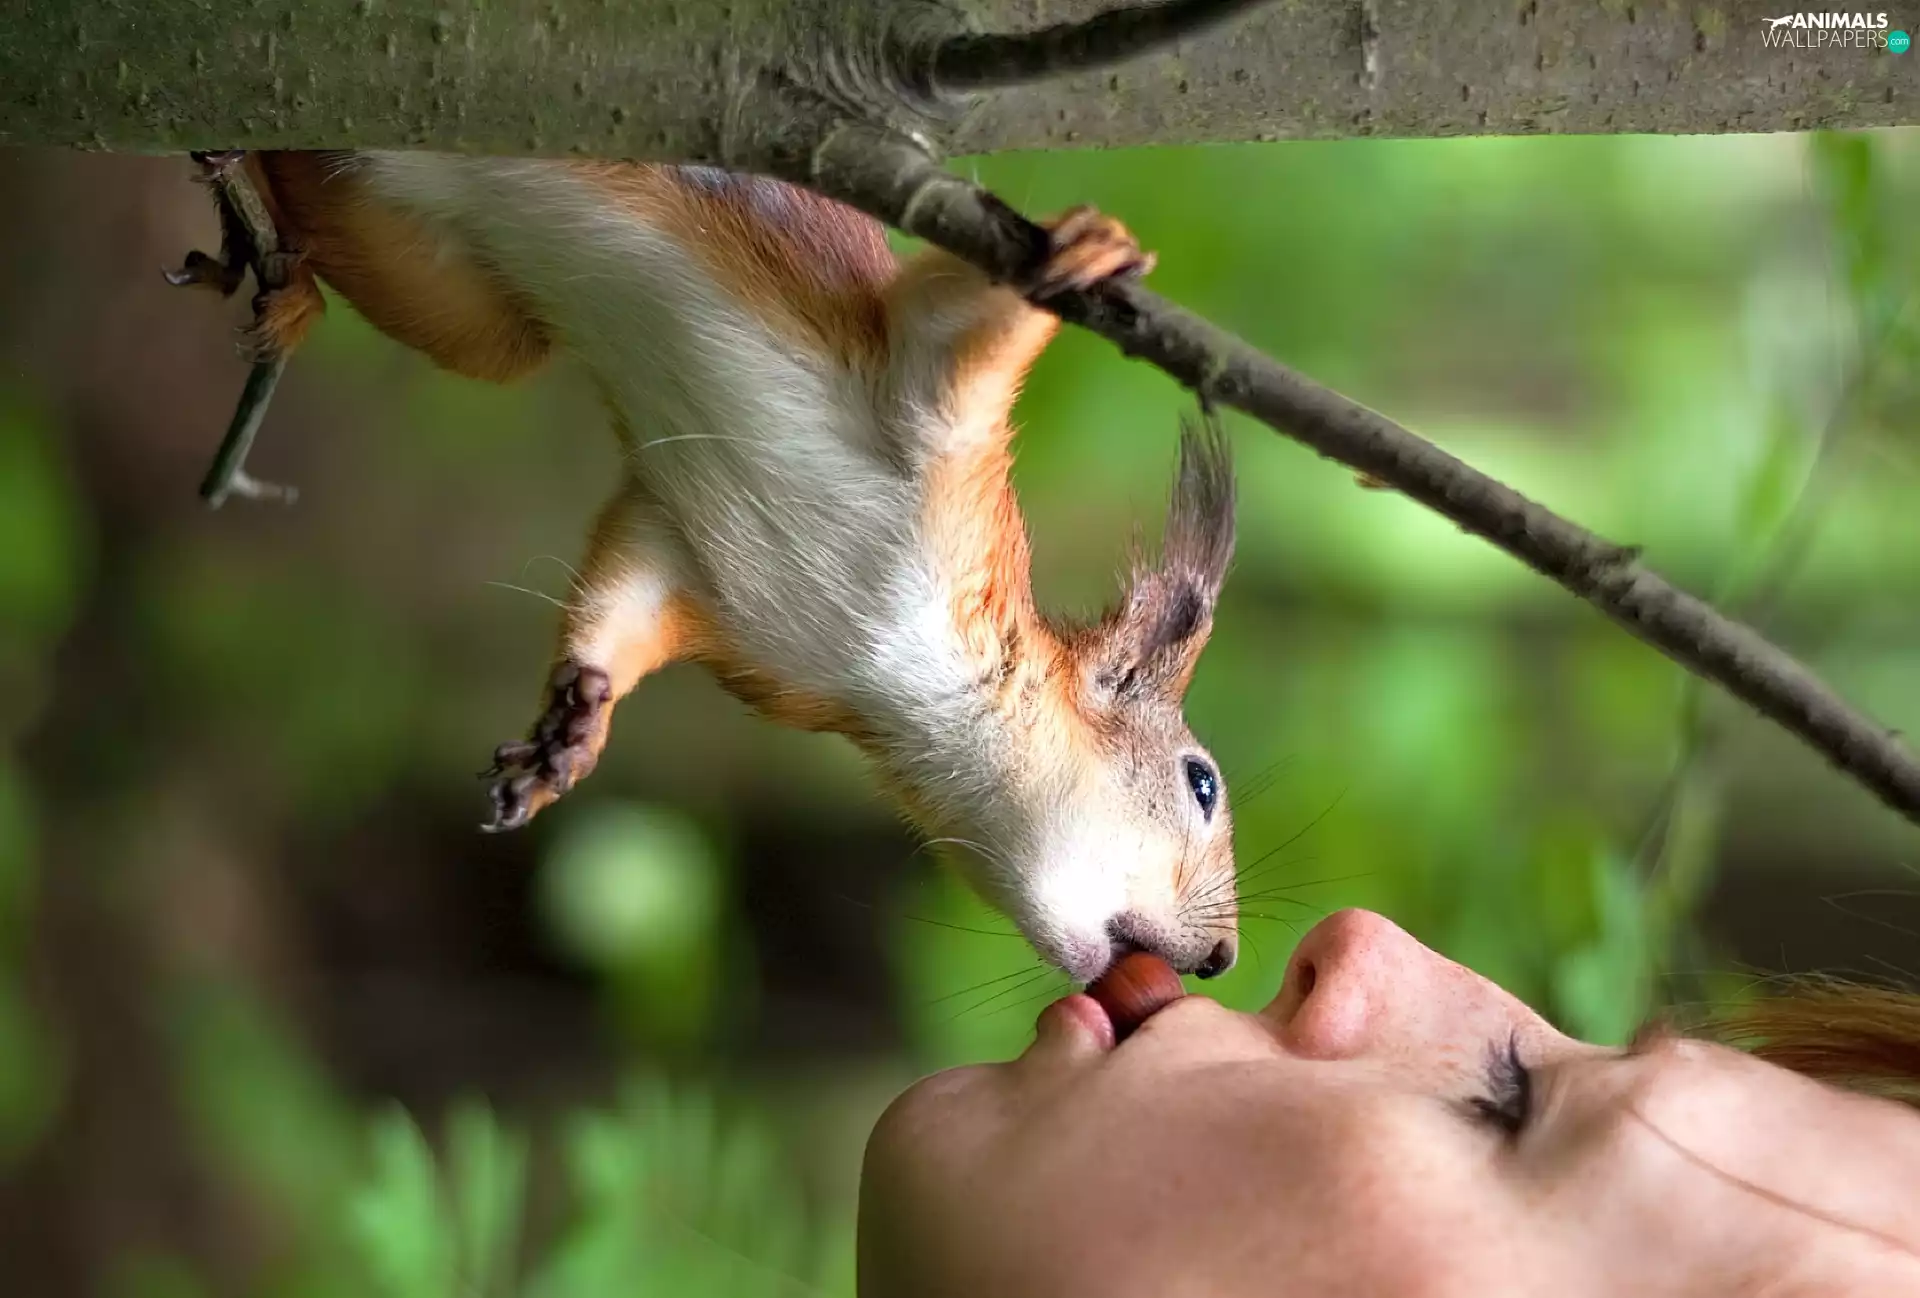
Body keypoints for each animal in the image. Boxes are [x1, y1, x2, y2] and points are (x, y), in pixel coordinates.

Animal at [232, 150, 1239, 985]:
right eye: (1202, 782)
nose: (1223, 959)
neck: (904, 679)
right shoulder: (933, 425)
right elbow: (962, 328)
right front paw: (1088, 251)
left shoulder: (713, 579)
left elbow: (627, 596)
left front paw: (576, 725)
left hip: (455, 304)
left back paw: (278, 270)